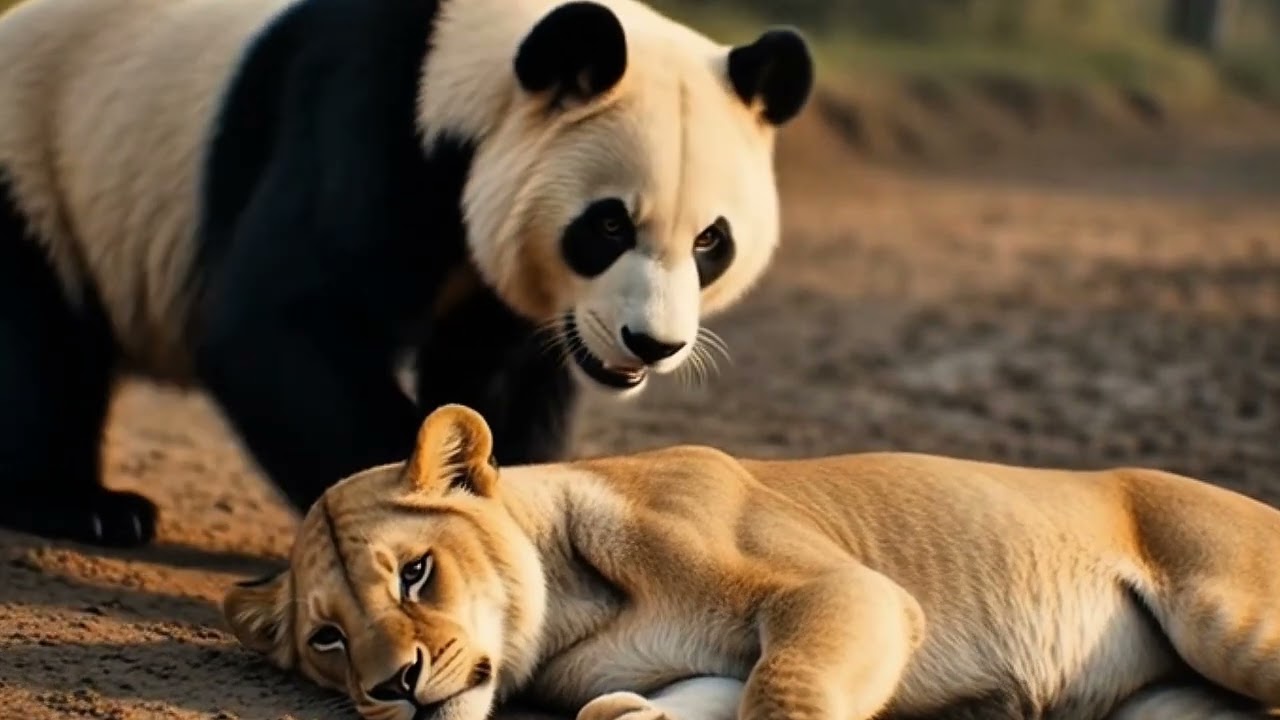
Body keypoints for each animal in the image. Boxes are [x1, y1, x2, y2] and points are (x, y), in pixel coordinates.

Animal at [0, 0, 813, 548]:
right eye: (608, 225)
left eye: (710, 241)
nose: (652, 344)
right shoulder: (366, 126)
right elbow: (280, 324)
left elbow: (498, 377)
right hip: (37, 162)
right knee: (40, 350)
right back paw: (87, 507)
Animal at [223, 404, 1280, 720]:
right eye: (327, 639)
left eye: (415, 573)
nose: (392, 687)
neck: (569, 617)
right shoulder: (700, 669)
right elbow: (663, 705)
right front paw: (631, 715)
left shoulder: (841, 590)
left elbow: (786, 691)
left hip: (1227, 620)